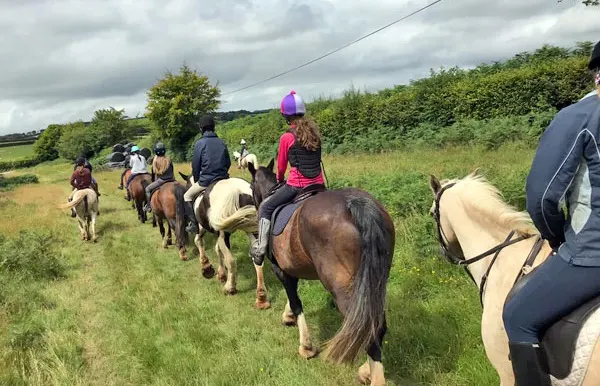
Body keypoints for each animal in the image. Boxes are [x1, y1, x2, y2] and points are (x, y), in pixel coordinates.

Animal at [177, 172, 268, 308]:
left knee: (231, 260)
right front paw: (221, 274)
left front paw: (207, 268)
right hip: (253, 230)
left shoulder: (202, 228)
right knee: (257, 260)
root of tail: (237, 190)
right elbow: (217, 250)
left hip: (223, 232)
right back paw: (262, 298)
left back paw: (230, 288)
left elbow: (199, 241)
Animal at [247, 160, 394, 386]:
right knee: (374, 325)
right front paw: (288, 316)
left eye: (250, 186)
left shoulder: (280, 269)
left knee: (367, 331)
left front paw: (305, 346)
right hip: (375, 284)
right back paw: (366, 370)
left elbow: (296, 302)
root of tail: (355, 204)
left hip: (345, 290)